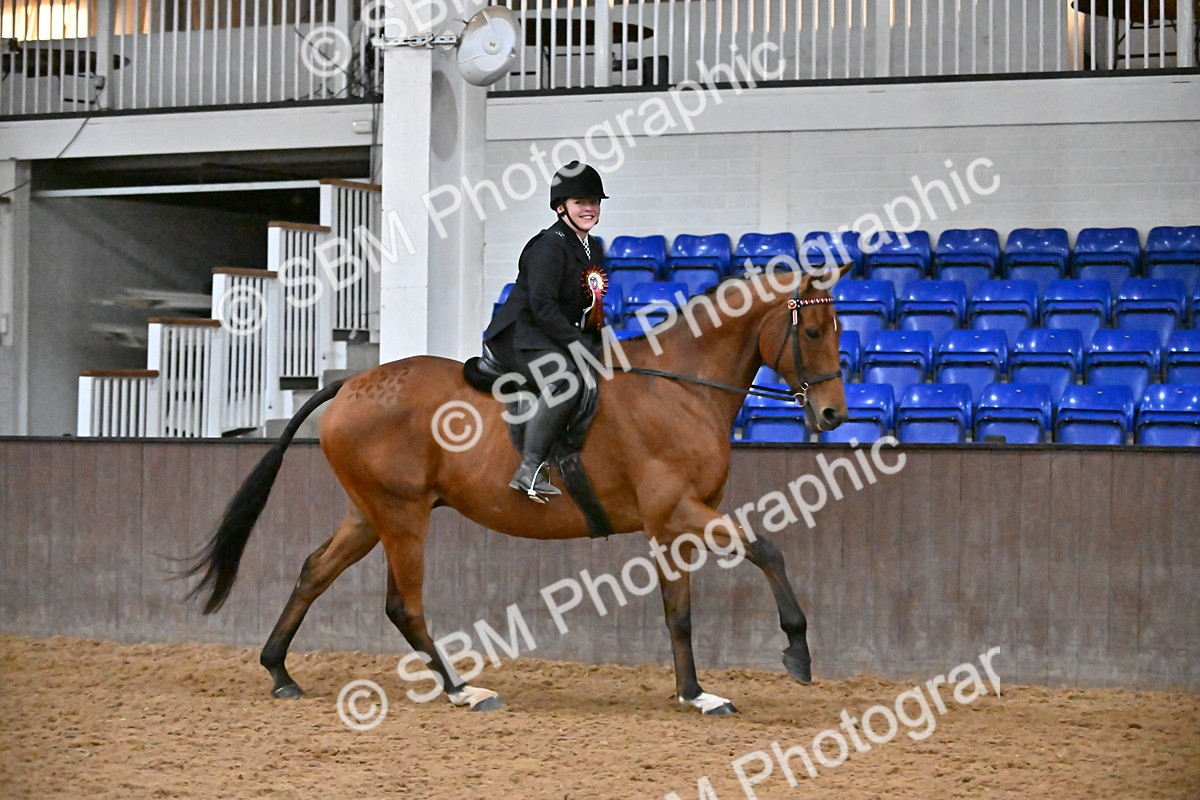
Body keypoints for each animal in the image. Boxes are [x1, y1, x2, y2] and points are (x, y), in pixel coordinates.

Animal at [187, 264, 850, 715]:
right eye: (815, 331)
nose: (834, 414)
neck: (680, 386)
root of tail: (351, 383)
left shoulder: (674, 524)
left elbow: (678, 612)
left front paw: (695, 694)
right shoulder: (679, 510)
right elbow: (767, 550)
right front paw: (797, 651)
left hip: (369, 513)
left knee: (314, 571)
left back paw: (280, 672)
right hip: (401, 516)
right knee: (403, 604)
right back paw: (462, 690)